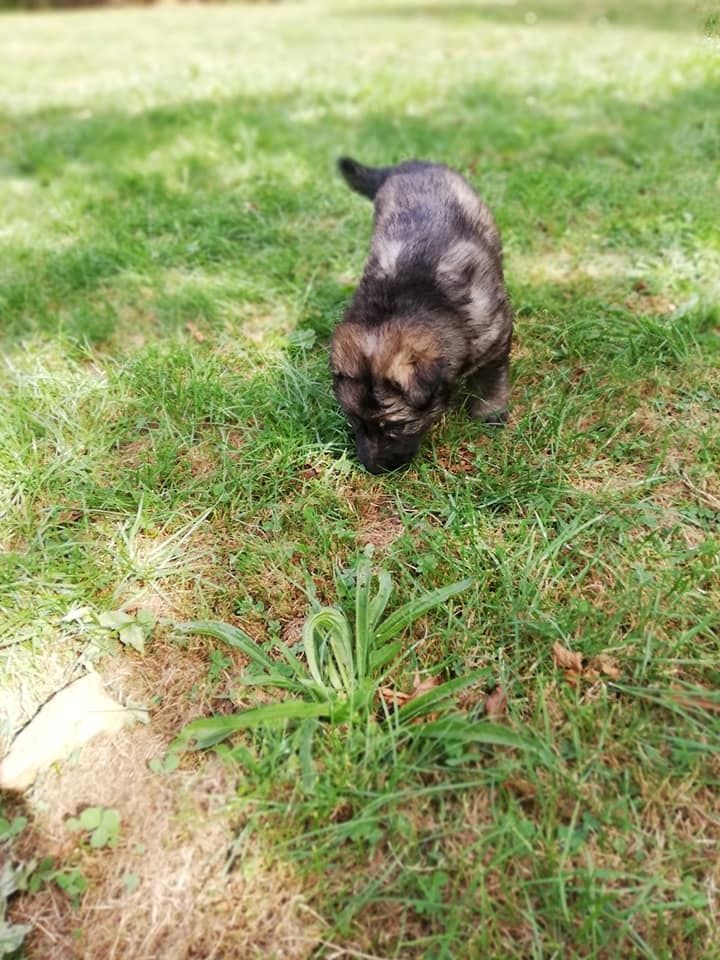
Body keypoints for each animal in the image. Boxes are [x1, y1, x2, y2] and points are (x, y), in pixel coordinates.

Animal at [331, 156, 513, 474]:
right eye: (355, 421)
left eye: (394, 427)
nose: (372, 469)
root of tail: (407, 165)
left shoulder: (495, 335)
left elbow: (491, 377)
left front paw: (490, 412)